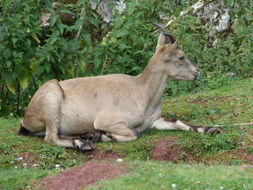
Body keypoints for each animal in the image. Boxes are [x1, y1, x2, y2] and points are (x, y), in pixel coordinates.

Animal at [18, 24, 219, 151]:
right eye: (181, 56)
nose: (197, 71)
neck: (141, 92)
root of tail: (26, 118)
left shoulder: (154, 120)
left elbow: (178, 122)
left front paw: (211, 129)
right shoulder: (106, 120)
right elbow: (133, 133)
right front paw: (104, 136)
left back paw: (86, 137)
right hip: (52, 101)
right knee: (50, 137)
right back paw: (84, 143)